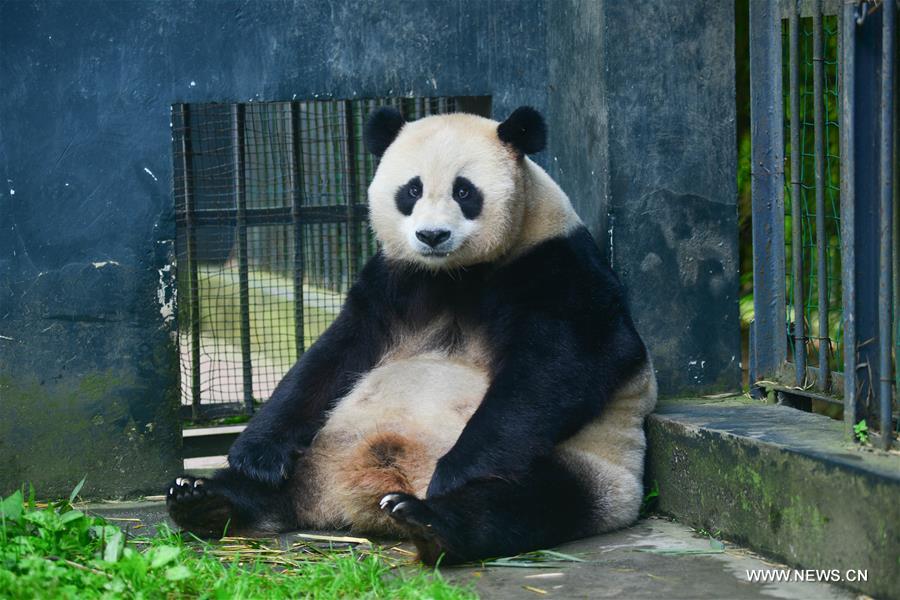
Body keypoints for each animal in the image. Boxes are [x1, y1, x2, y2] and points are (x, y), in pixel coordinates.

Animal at [169, 106, 656, 564]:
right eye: (412, 190)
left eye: (464, 191)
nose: (432, 235)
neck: (455, 274)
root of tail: (350, 502)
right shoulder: (393, 282)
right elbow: (329, 359)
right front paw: (255, 453)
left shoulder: (557, 268)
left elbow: (557, 368)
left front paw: (455, 473)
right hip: (322, 443)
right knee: (269, 488)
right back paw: (205, 499)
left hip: (585, 467)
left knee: (524, 501)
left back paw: (431, 521)